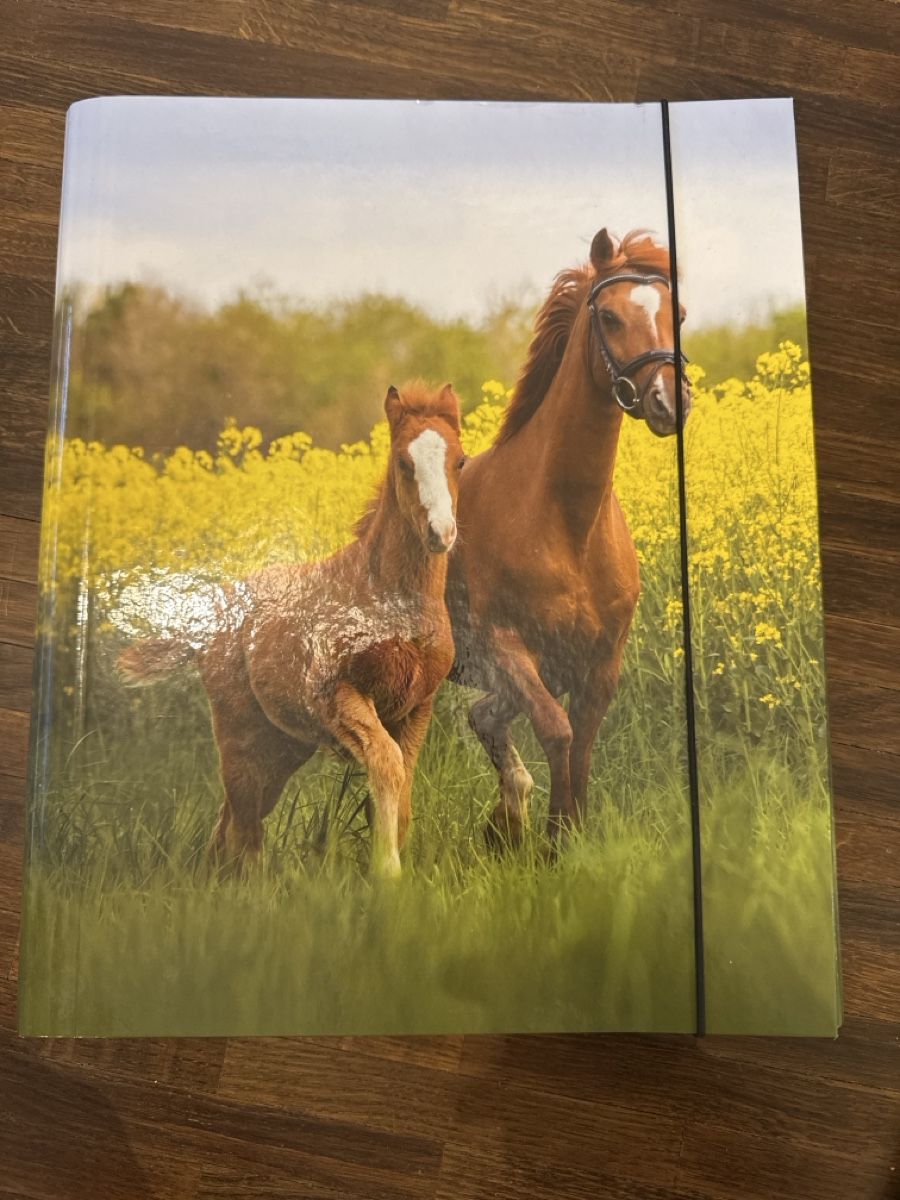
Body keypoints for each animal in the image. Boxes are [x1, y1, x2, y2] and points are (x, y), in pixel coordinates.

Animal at [118, 381, 466, 877]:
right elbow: (386, 764)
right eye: (404, 461)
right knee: (243, 825)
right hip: (239, 734)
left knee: (231, 820)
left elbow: (404, 791)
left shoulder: (417, 706)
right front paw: (386, 872)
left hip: (282, 745)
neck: (388, 597)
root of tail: (216, 614)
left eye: (460, 461)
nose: (441, 533)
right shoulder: (340, 695)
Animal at [447, 228, 691, 848]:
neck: (567, 524)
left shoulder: (599, 661)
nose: (669, 401)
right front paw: (553, 842)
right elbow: (556, 731)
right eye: (608, 316)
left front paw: (567, 834)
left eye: (676, 313)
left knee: (484, 719)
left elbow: (581, 743)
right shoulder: (508, 646)